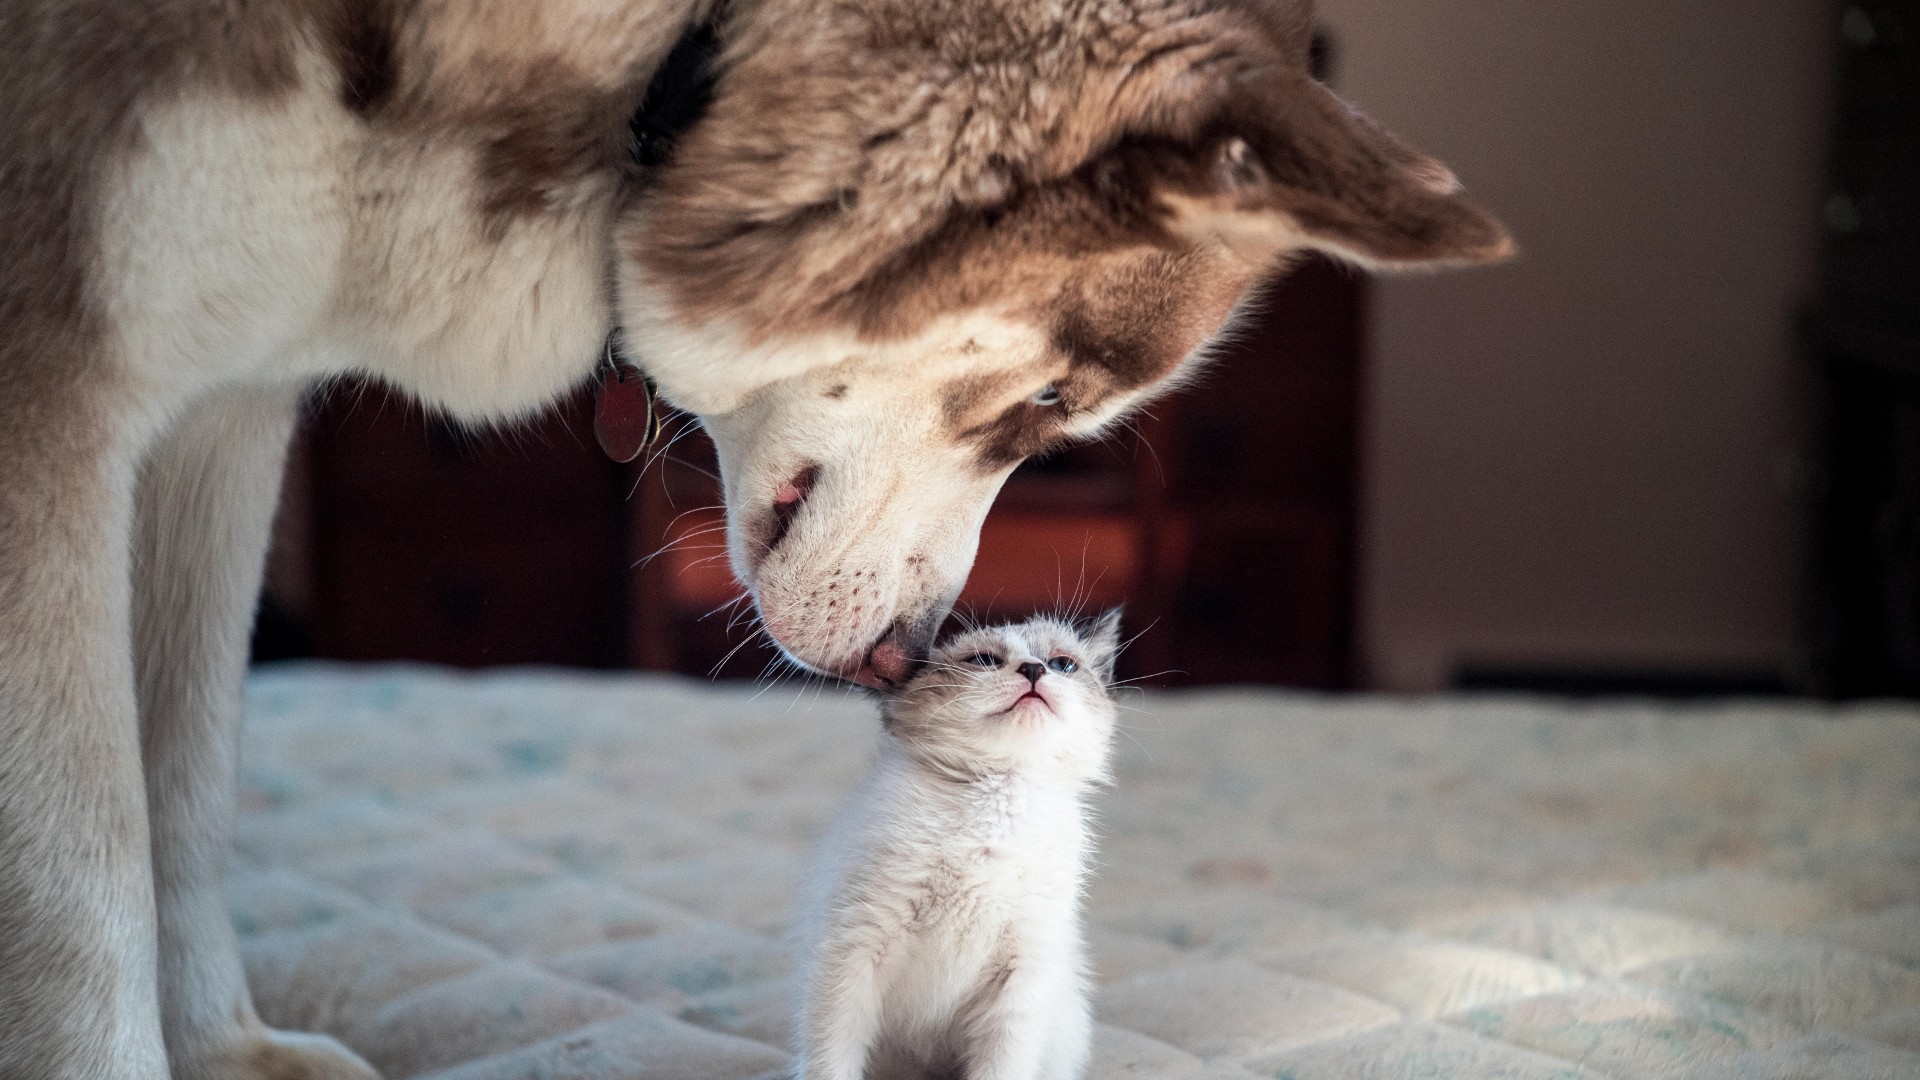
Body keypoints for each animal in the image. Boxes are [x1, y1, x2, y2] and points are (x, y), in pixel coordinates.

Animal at [794, 611, 1121, 1076]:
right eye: (983, 660)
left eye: (1062, 664)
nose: (1034, 670)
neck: (995, 807)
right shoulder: (855, 947)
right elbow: (832, 1057)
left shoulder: (1022, 974)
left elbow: (1001, 1066)